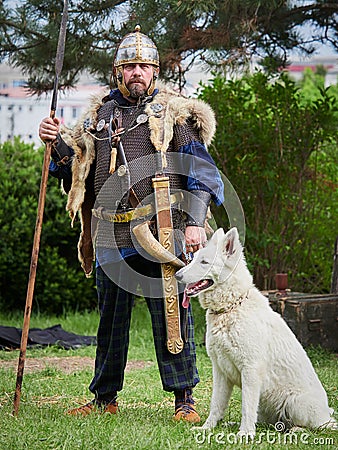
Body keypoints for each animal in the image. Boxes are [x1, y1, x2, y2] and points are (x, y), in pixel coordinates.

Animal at [176, 229, 336, 436]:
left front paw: (245, 434)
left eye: (204, 262)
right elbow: (216, 405)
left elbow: (247, 407)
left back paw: (296, 429)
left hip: (295, 403)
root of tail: (326, 414)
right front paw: (207, 428)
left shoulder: (250, 370)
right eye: (194, 258)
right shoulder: (220, 371)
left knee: (315, 426)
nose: (177, 275)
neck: (231, 307)